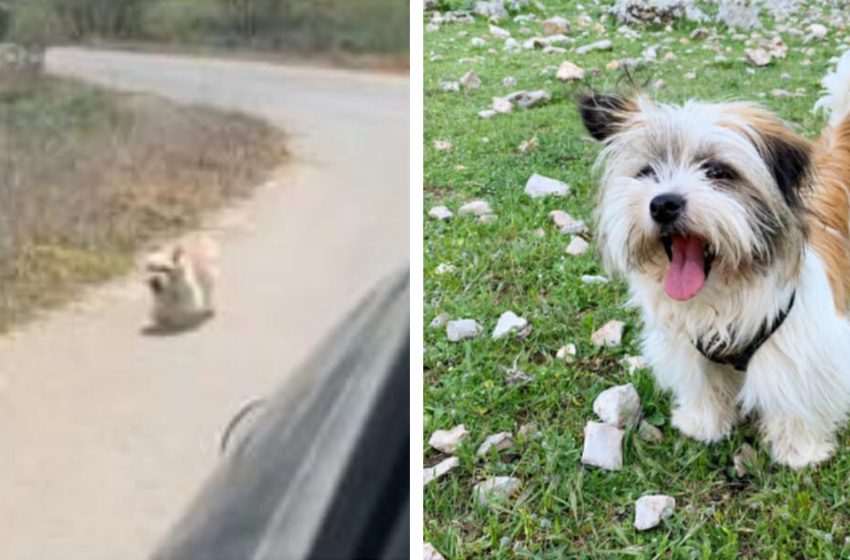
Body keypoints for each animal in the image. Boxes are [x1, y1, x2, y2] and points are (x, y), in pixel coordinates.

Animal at [576, 51, 850, 468]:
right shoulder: (689, 348)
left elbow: (796, 399)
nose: (663, 204)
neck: (723, 297)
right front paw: (703, 424)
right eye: (647, 171)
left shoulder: (804, 348)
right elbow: (703, 384)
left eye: (718, 171)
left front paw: (799, 451)